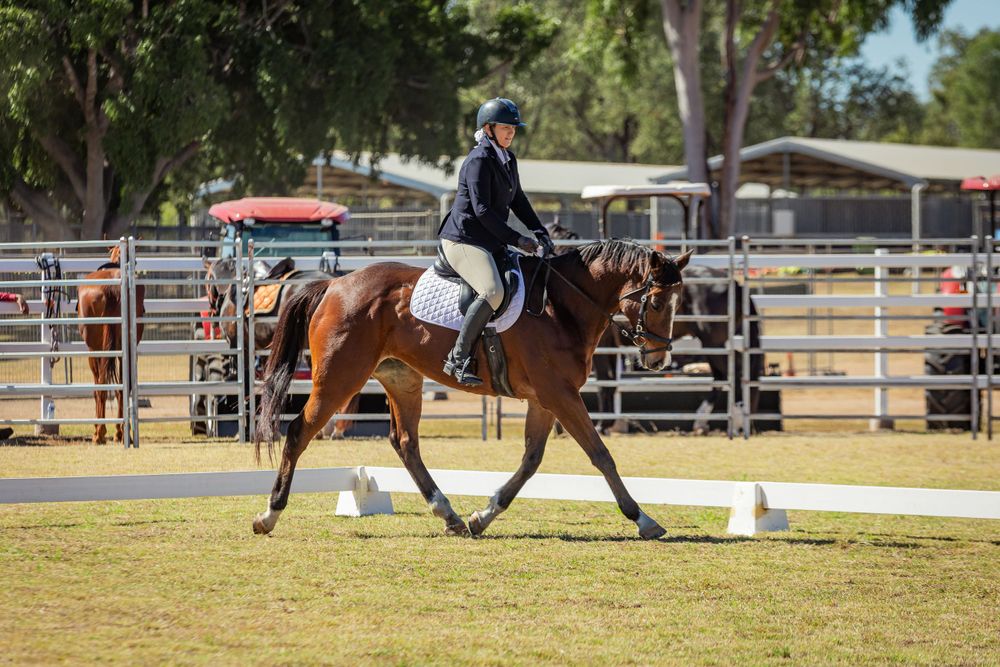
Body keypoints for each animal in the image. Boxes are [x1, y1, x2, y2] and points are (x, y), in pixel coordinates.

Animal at [77, 245, 145, 444]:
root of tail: (111, 287)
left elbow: (98, 389)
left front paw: (97, 430)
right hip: (126, 349)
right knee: (123, 388)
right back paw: (121, 433)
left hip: (96, 350)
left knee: (101, 388)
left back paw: (99, 433)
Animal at [253, 239, 693, 539]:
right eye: (656, 303)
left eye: (679, 302)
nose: (659, 359)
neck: (561, 306)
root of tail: (333, 285)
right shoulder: (559, 394)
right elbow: (601, 455)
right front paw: (644, 519)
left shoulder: (545, 399)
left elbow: (531, 460)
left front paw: (484, 516)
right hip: (339, 379)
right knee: (299, 432)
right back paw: (269, 515)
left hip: (401, 379)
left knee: (405, 442)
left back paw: (449, 515)